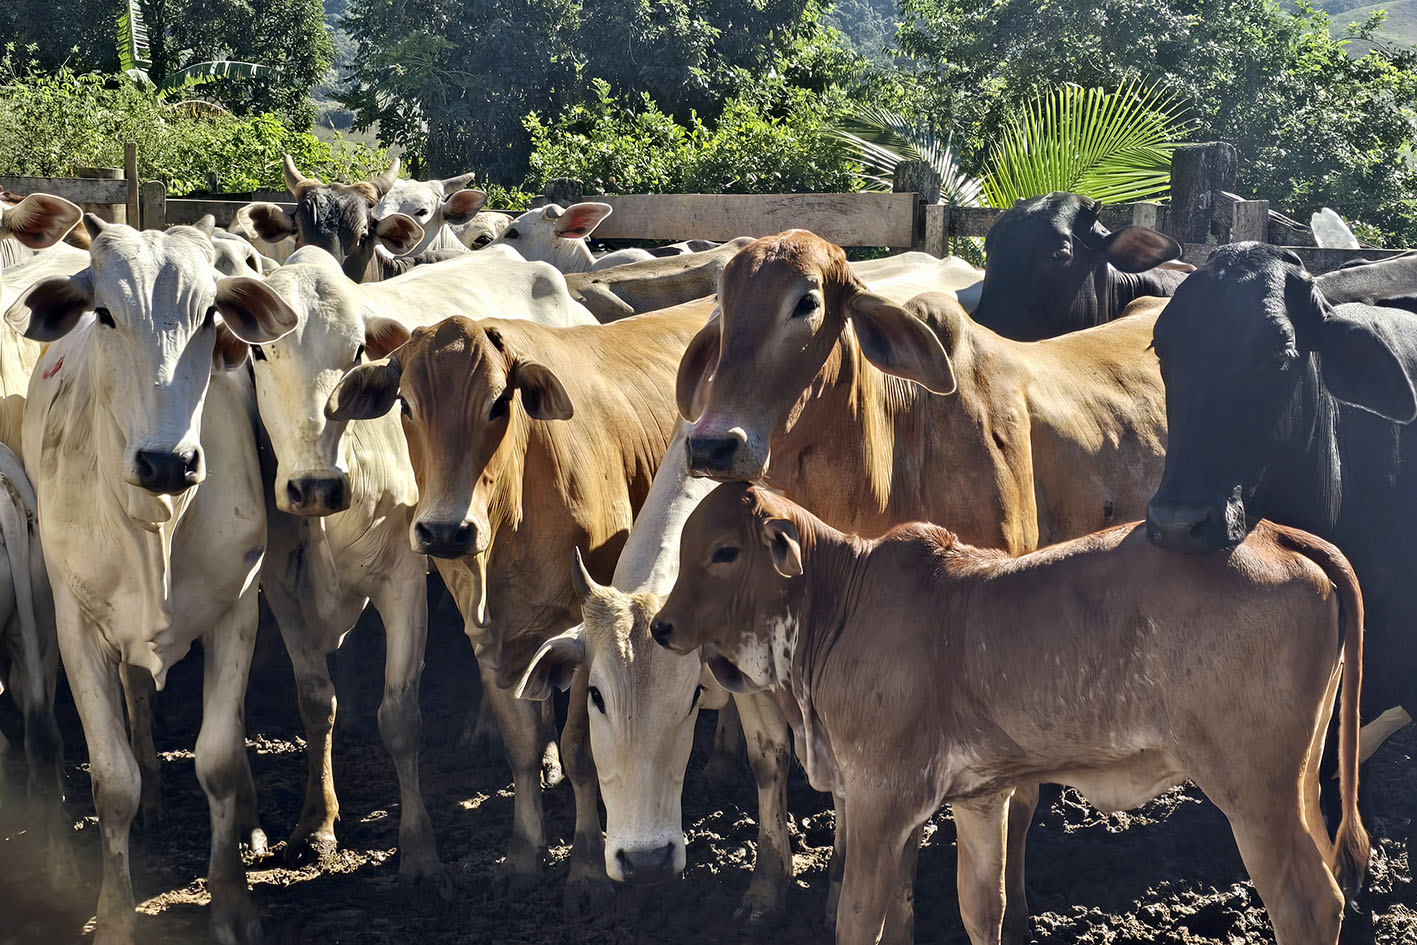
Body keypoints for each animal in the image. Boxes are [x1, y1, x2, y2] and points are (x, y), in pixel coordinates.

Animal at [6, 216, 298, 945]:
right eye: (106, 314)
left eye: (211, 316)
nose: (167, 461)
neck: (157, 522)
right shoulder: (77, 628)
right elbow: (113, 782)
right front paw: (114, 914)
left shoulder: (238, 613)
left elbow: (218, 761)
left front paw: (232, 900)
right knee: (134, 695)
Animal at [238, 243, 597, 872]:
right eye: (261, 351)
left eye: (358, 349)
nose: (315, 487)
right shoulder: (282, 585)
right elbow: (316, 704)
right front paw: (318, 821)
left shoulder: (403, 579)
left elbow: (400, 719)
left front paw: (420, 849)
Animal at [324, 304, 707, 914]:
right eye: (405, 404)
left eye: (498, 404)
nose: (445, 531)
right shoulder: (490, 641)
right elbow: (522, 746)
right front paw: (524, 855)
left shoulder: (585, 634)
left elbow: (581, 751)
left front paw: (585, 868)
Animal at [652, 482, 1368, 945]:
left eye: (725, 551)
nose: (661, 626)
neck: (838, 607)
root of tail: (1276, 533)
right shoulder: (976, 798)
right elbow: (974, 909)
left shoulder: (880, 795)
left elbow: (860, 918)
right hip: (1299, 781)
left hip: (1253, 791)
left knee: (1307, 904)